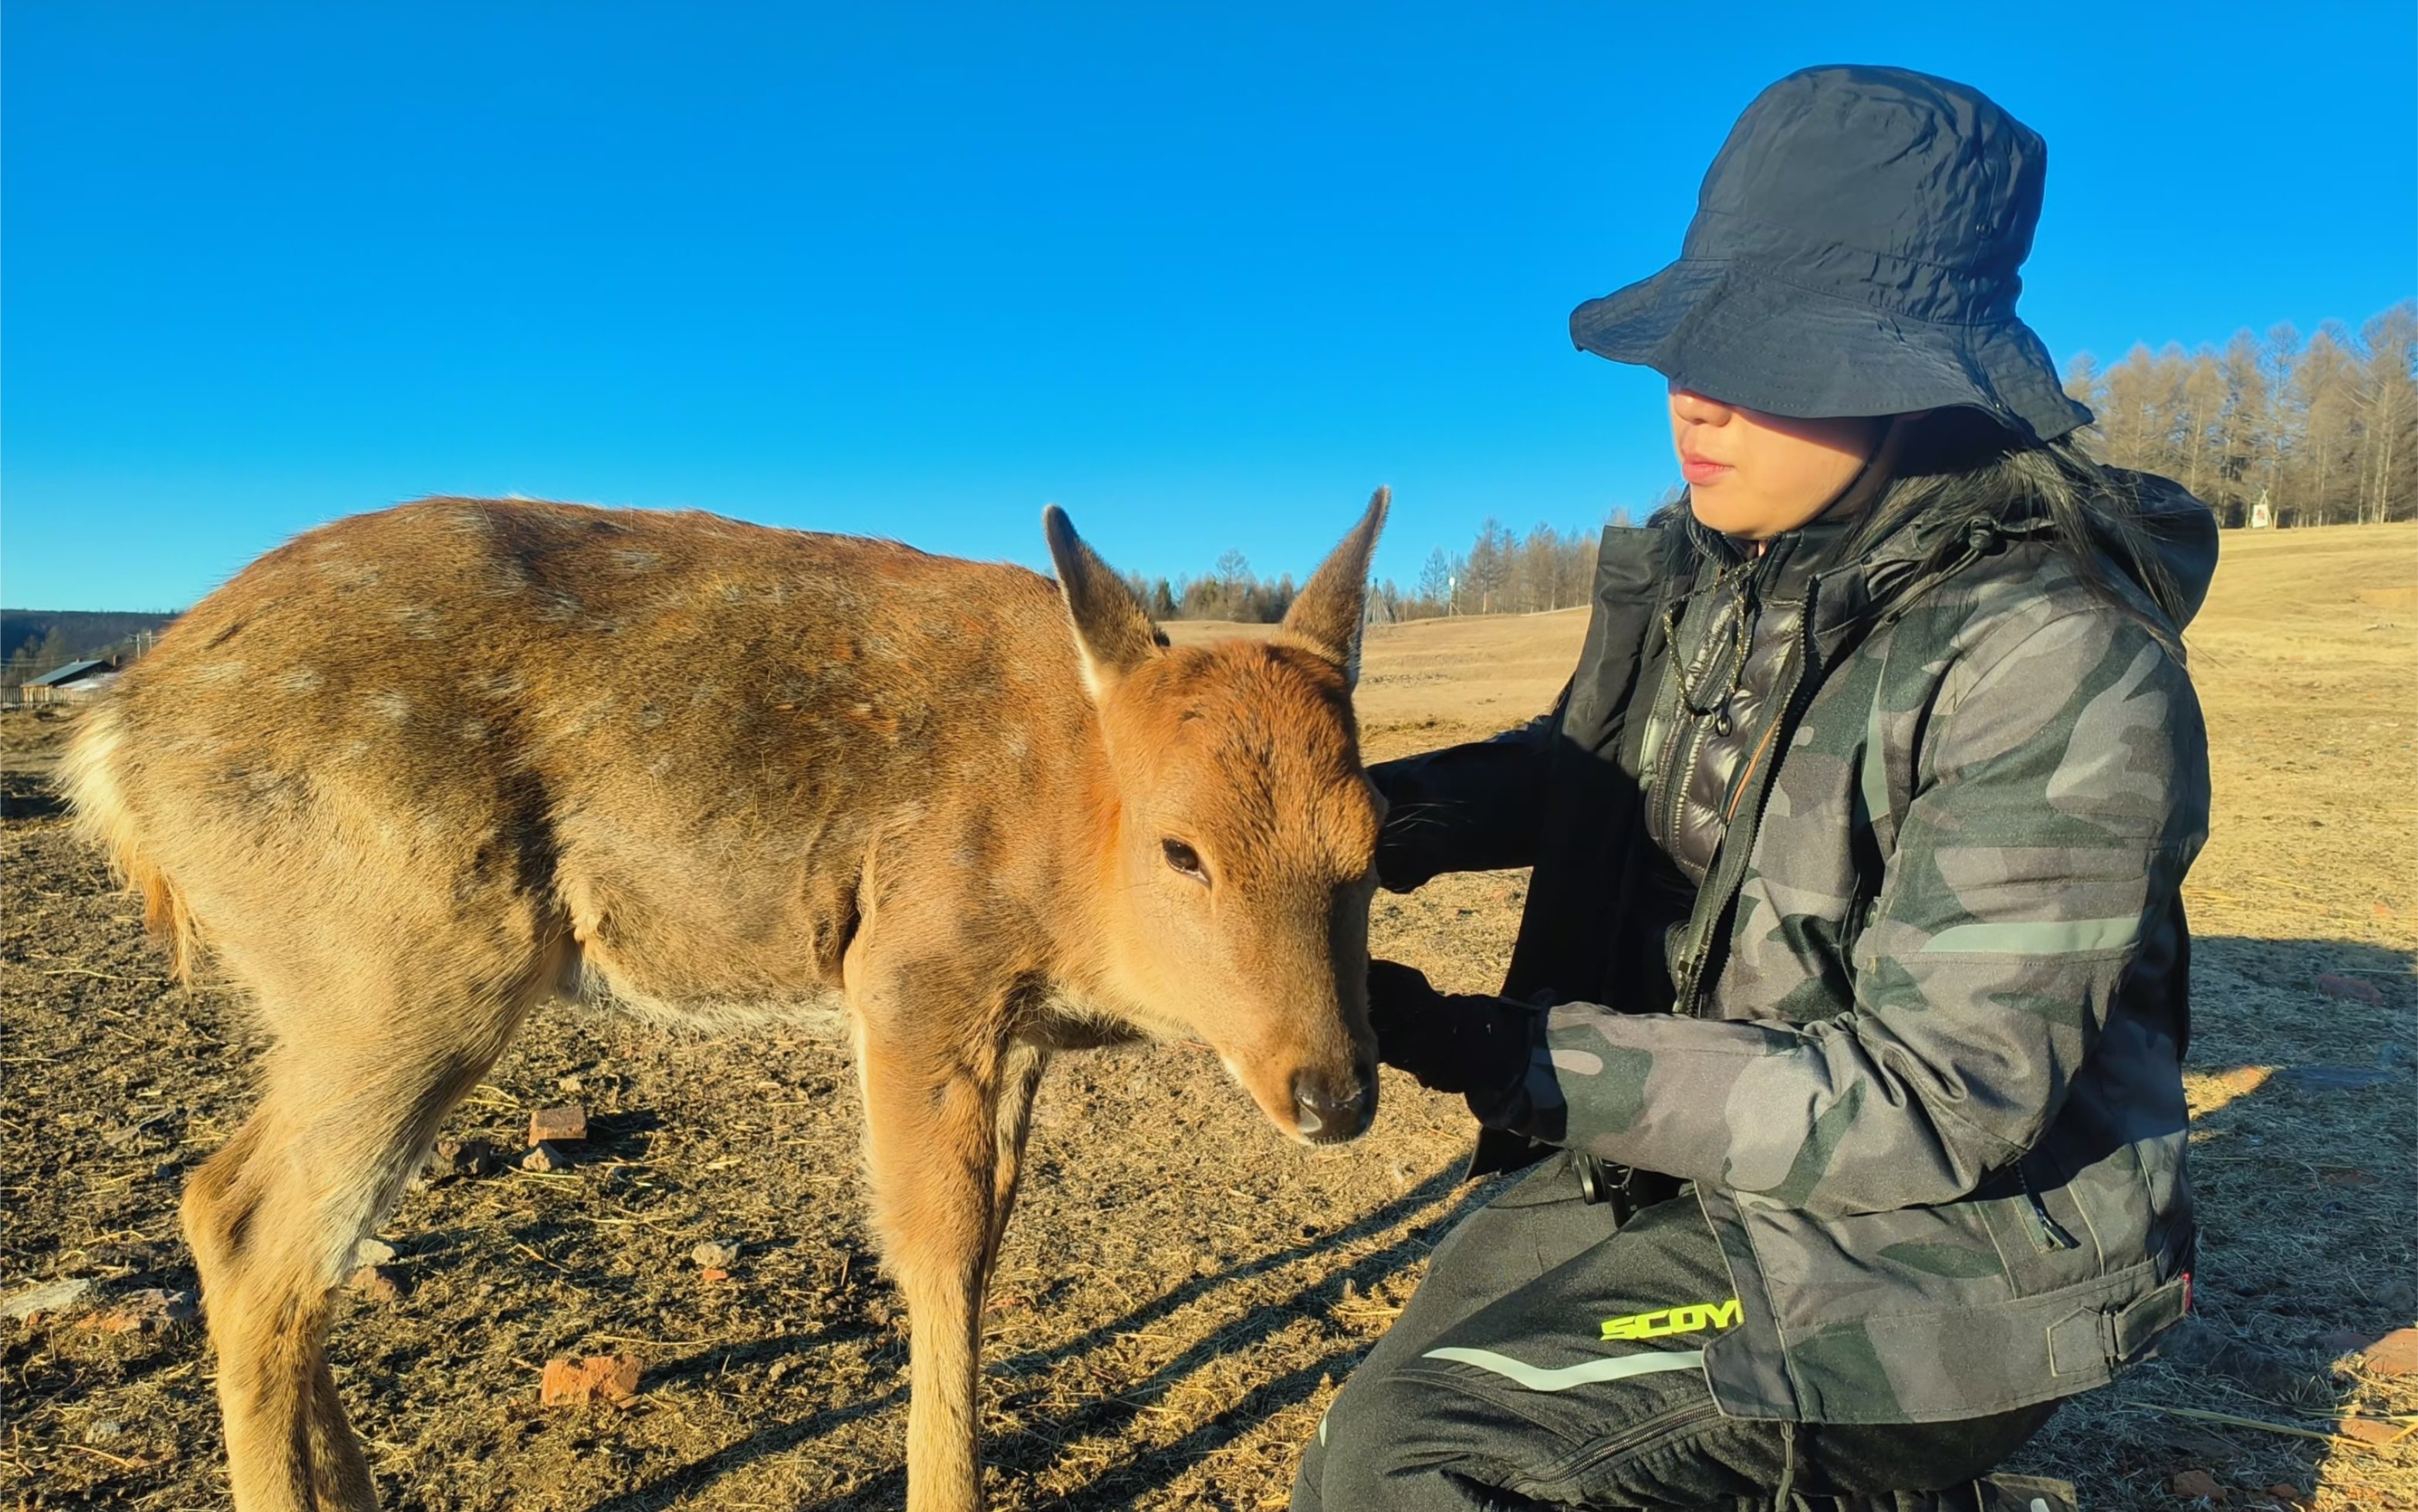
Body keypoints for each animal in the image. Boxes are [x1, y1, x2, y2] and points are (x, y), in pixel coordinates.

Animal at [66, 488, 1393, 1509]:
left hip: (351, 985)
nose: (1332, 1093)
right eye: (1181, 851)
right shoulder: (914, 962)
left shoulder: (1013, 1023)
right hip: (392, 962)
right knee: (258, 1234)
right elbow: (937, 1252)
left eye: (1376, 840)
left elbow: (985, 1237)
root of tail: (115, 745)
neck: (1072, 840)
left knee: (242, 1217)